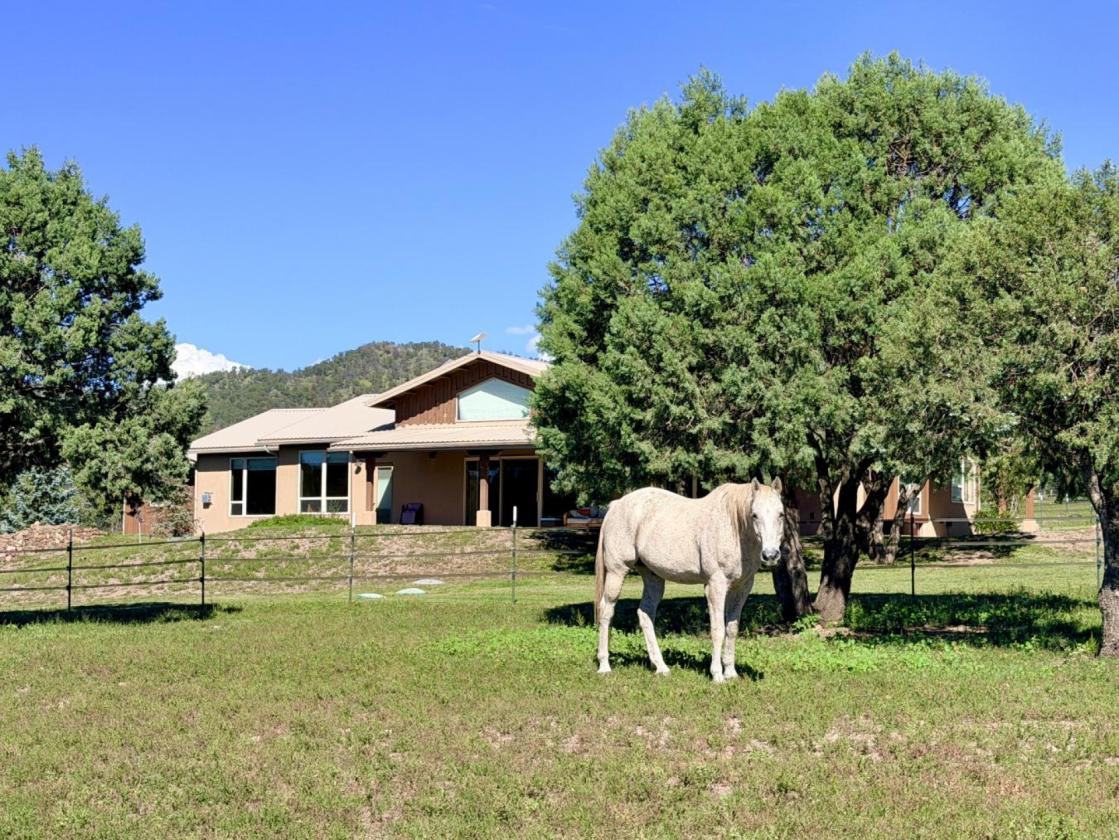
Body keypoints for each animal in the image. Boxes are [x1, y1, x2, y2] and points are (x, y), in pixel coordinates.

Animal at [593, 479, 785, 682]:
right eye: (754, 515)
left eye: (781, 514)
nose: (770, 555)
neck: (733, 529)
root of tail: (616, 506)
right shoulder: (715, 586)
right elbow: (718, 630)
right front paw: (717, 675)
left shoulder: (742, 587)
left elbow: (732, 628)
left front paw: (731, 673)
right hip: (617, 572)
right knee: (606, 611)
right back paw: (604, 665)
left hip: (653, 577)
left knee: (645, 614)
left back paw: (661, 667)